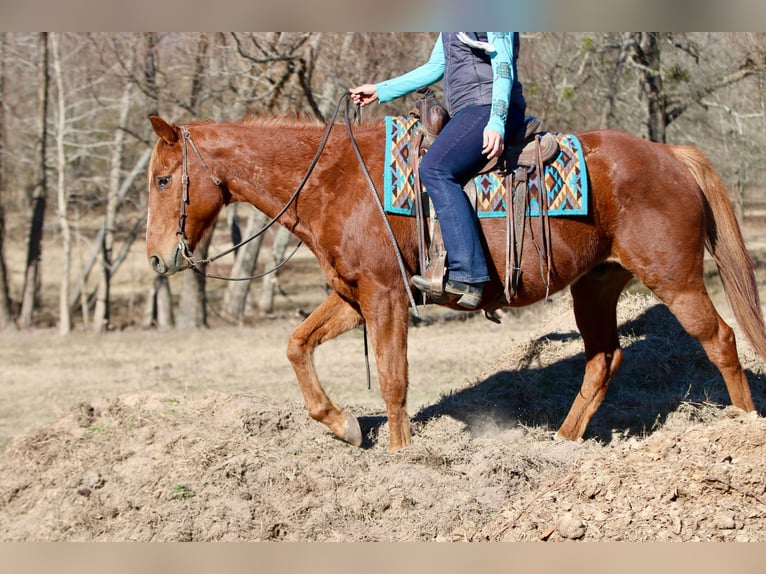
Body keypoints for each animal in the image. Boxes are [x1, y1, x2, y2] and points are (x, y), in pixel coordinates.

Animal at [145, 111, 765, 452]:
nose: (155, 258)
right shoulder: (352, 296)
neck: (336, 180)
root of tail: (669, 155)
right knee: (603, 359)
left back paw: (743, 427)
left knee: (721, 341)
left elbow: (393, 379)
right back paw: (562, 444)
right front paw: (343, 425)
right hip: (595, 286)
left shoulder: (386, 296)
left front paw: (401, 457)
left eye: (163, 179)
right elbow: (297, 344)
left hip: (675, 279)